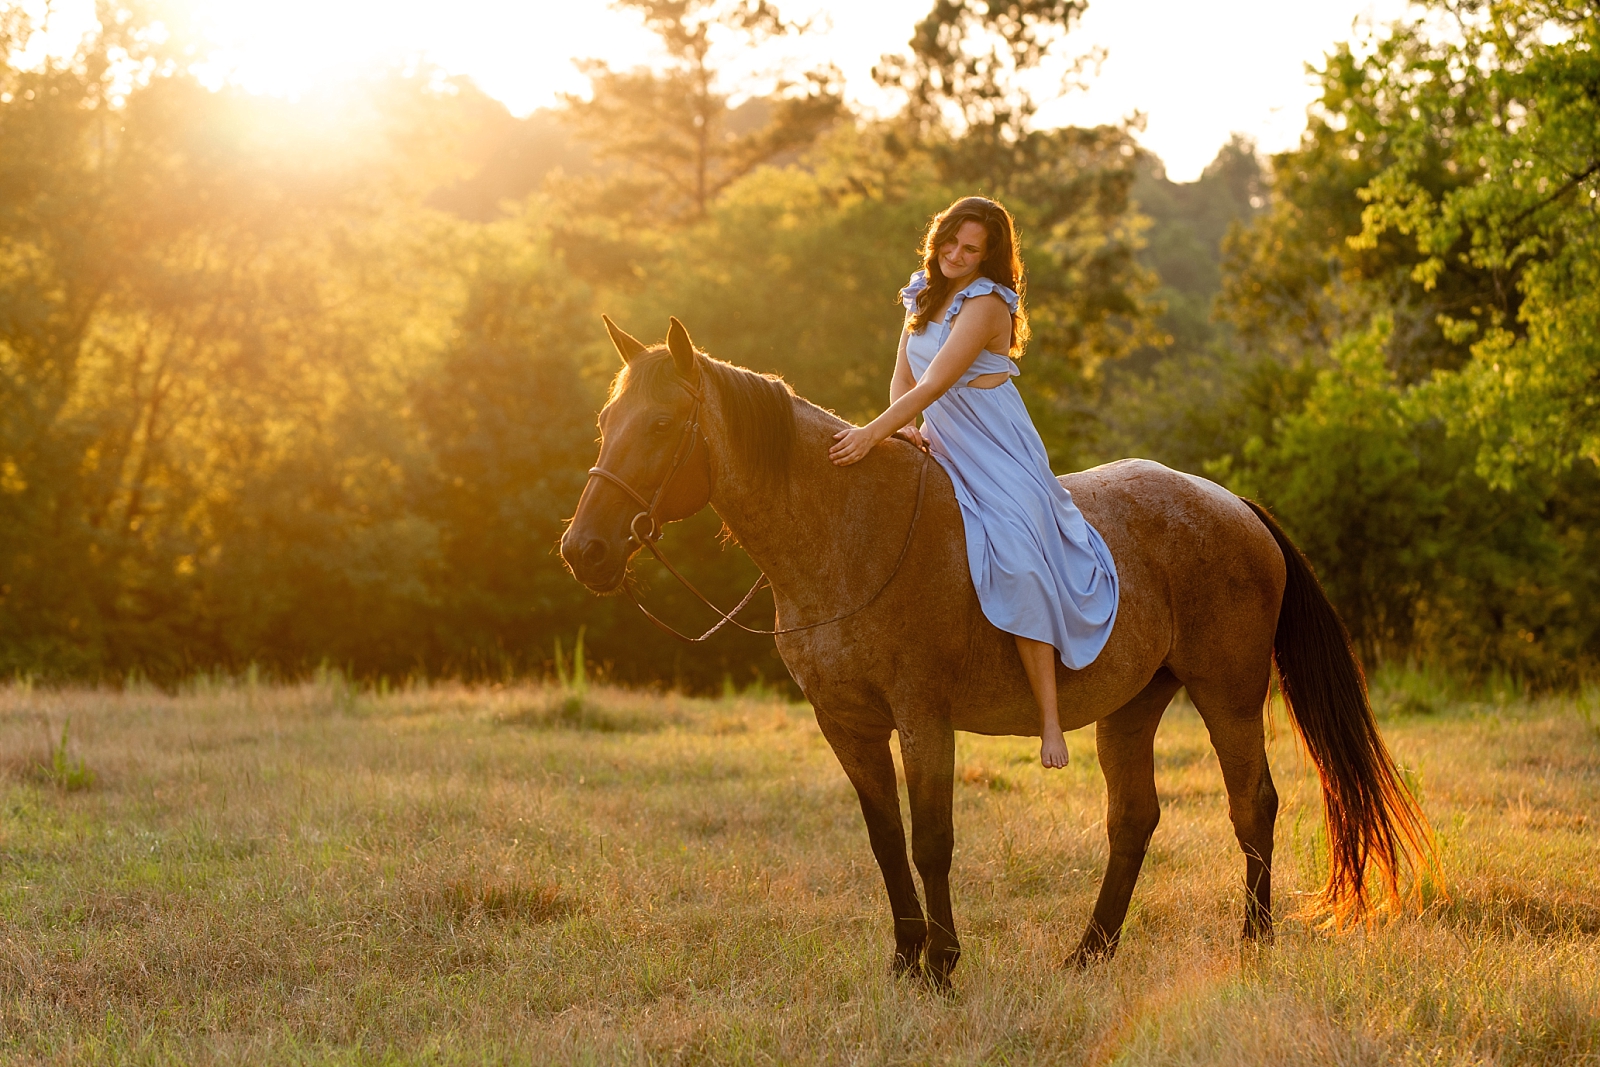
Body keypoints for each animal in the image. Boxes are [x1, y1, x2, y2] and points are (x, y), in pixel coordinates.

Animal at [563, 319, 1440, 991]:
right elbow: (886, 840)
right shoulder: (846, 725)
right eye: (606, 425)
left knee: (1252, 804)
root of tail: (1233, 504)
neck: (847, 529)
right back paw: (1089, 952)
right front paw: (904, 961)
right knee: (1134, 819)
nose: (584, 550)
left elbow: (932, 839)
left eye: (661, 426)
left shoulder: (922, 719)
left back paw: (1253, 942)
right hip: (1133, 707)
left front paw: (942, 966)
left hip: (1226, 694)